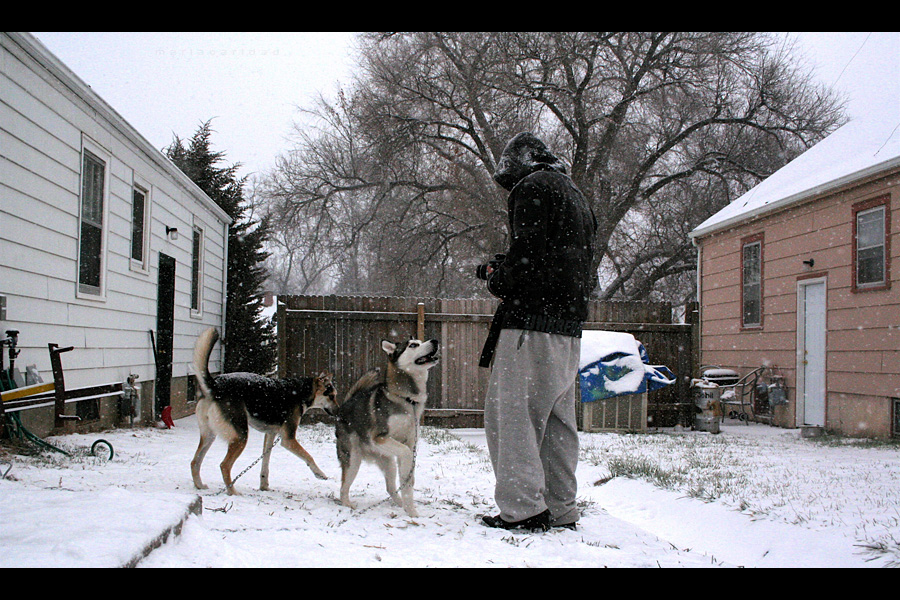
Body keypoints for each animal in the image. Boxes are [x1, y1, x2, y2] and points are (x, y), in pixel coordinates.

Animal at [190, 328, 338, 496]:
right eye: (332, 396)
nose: (339, 411)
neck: (301, 393)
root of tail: (214, 385)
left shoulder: (270, 435)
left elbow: (265, 464)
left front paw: (264, 486)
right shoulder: (288, 439)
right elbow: (309, 456)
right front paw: (320, 473)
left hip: (209, 434)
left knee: (195, 462)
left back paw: (200, 485)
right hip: (240, 435)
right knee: (224, 465)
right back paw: (233, 492)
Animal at [334, 338, 440, 516]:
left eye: (420, 341)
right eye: (413, 345)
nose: (435, 340)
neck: (407, 400)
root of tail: (343, 407)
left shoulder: (411, 441)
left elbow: (408, 480)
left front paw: (411, 511)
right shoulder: (380, 437)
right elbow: (405, 453)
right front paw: (412, 513)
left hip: (388, 462)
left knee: (390, 488)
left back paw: (401, 504)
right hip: (354, 459)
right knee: (343, 487)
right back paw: (348, 504)